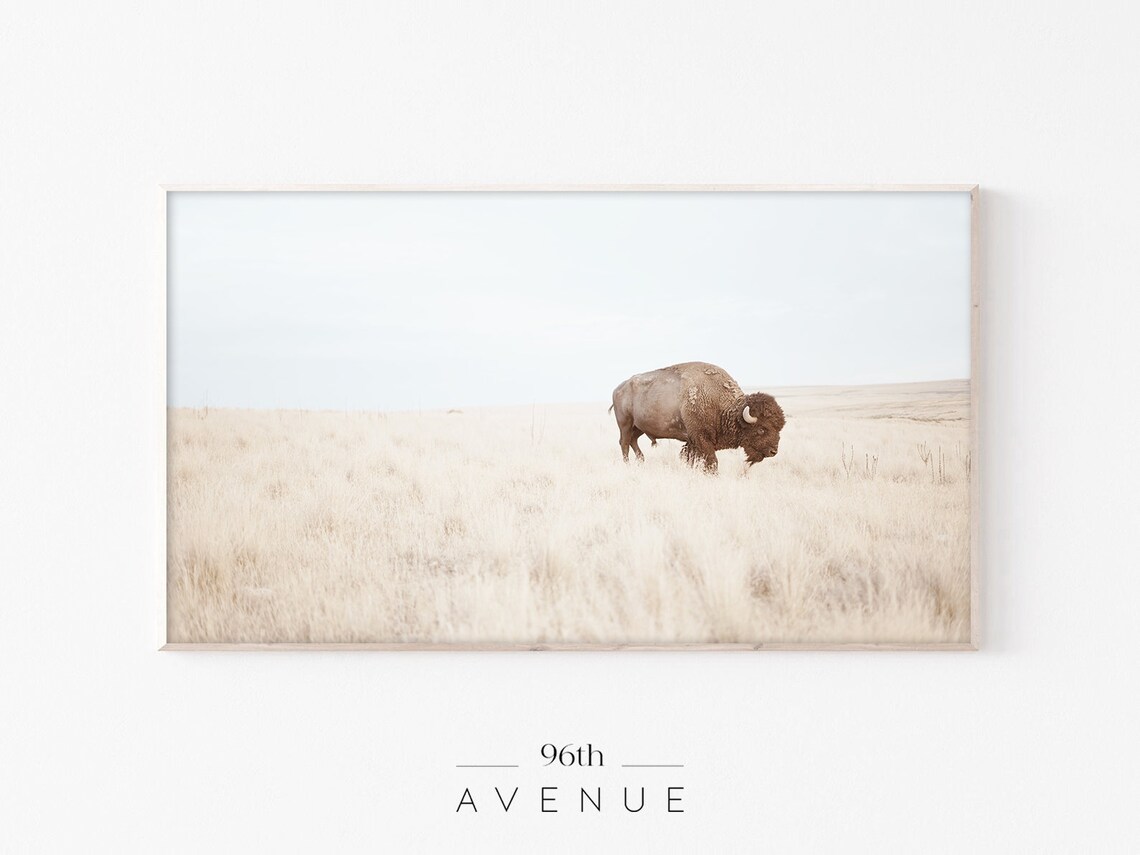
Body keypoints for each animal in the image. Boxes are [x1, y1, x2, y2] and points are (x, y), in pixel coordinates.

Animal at [610, 362, 785, 473]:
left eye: (779, 428)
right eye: (762, 429)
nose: (773, 451)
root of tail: (618, 389)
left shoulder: (693, 442)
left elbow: (691, 458)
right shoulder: (701, 438)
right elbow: (711, 461)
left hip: (638, 427)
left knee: (633, 441)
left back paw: (641, 461)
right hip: (625, 424)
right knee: (624, 443)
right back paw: (628, 465)